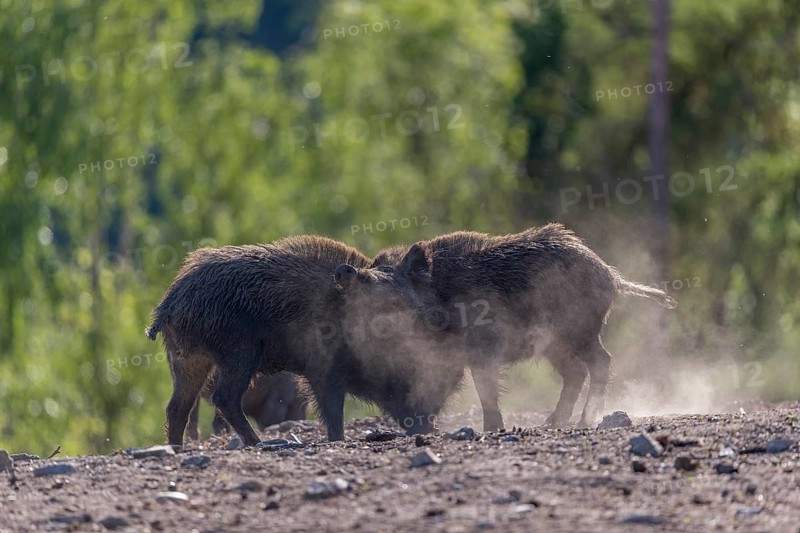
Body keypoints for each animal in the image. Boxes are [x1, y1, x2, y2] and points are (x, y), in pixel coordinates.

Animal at [146, 235, 452, 447]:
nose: (427, 425)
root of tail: (170, 303)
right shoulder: (322, 370)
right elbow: (332, 412)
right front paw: (336, 440)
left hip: (187, 360)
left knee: (177, 407)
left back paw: (178, 449)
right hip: (238, 353)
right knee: (224, 398)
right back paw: (258, 444)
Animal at [336, 223, 677, 431]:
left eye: (380, 278)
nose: (345, 271)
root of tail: (609, 274)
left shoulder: (481, 351)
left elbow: (485, 389)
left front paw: (490, 429)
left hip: (580, 331)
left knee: (601, 362)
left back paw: (583, 421)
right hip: (555, 345)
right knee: (576, 372)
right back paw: (551, 423)